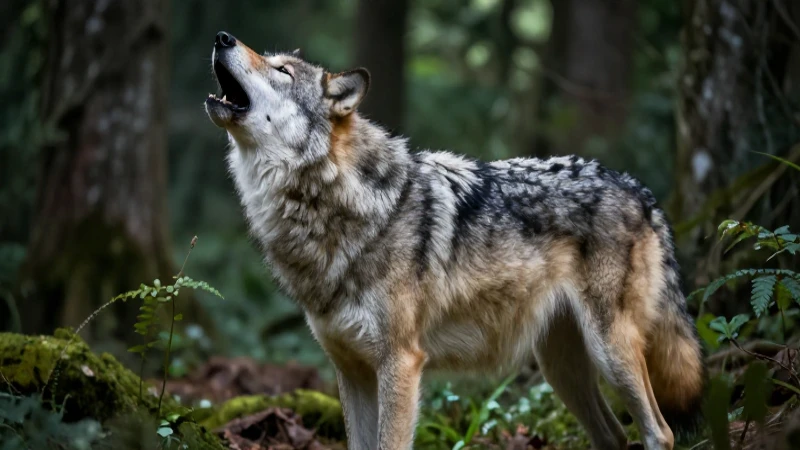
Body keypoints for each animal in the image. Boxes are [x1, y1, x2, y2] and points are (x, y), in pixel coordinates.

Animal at [205, 30, 705, 450]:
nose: (222, 37)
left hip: (610, 351)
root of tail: (637, 188)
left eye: (282, 71)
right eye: (272, 62)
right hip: (561, 366)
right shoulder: (351, 370)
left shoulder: (400, 363)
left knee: (659, 432)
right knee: (615, 436)